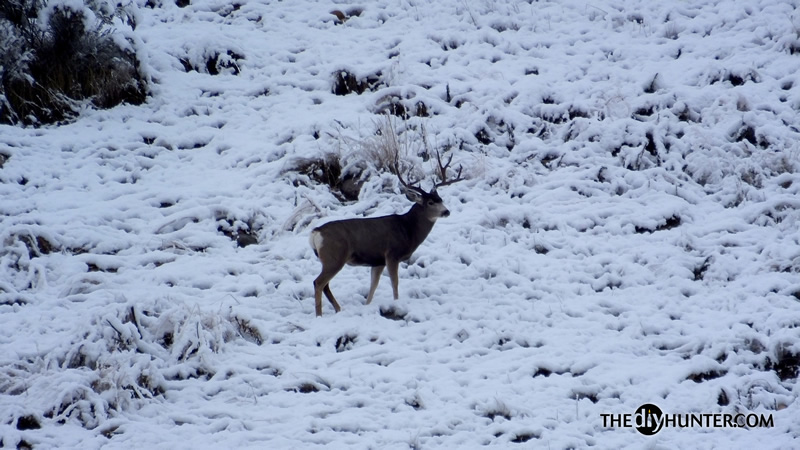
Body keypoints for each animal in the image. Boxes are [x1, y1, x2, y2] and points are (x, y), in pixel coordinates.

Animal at [310, 153, 466, 314]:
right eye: (430, 202)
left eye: (440, 199)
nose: (446, 211)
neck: (408, 230)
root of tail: (316, 232)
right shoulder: (392, 254)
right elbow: (394, 283)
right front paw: (396, 303)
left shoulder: (378, 261)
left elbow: (373, 287)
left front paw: (368, 305)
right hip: (334, 257)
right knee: (318, 282)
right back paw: (320, 315)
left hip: (328, 260)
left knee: (325, 285)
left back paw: (338, 309)